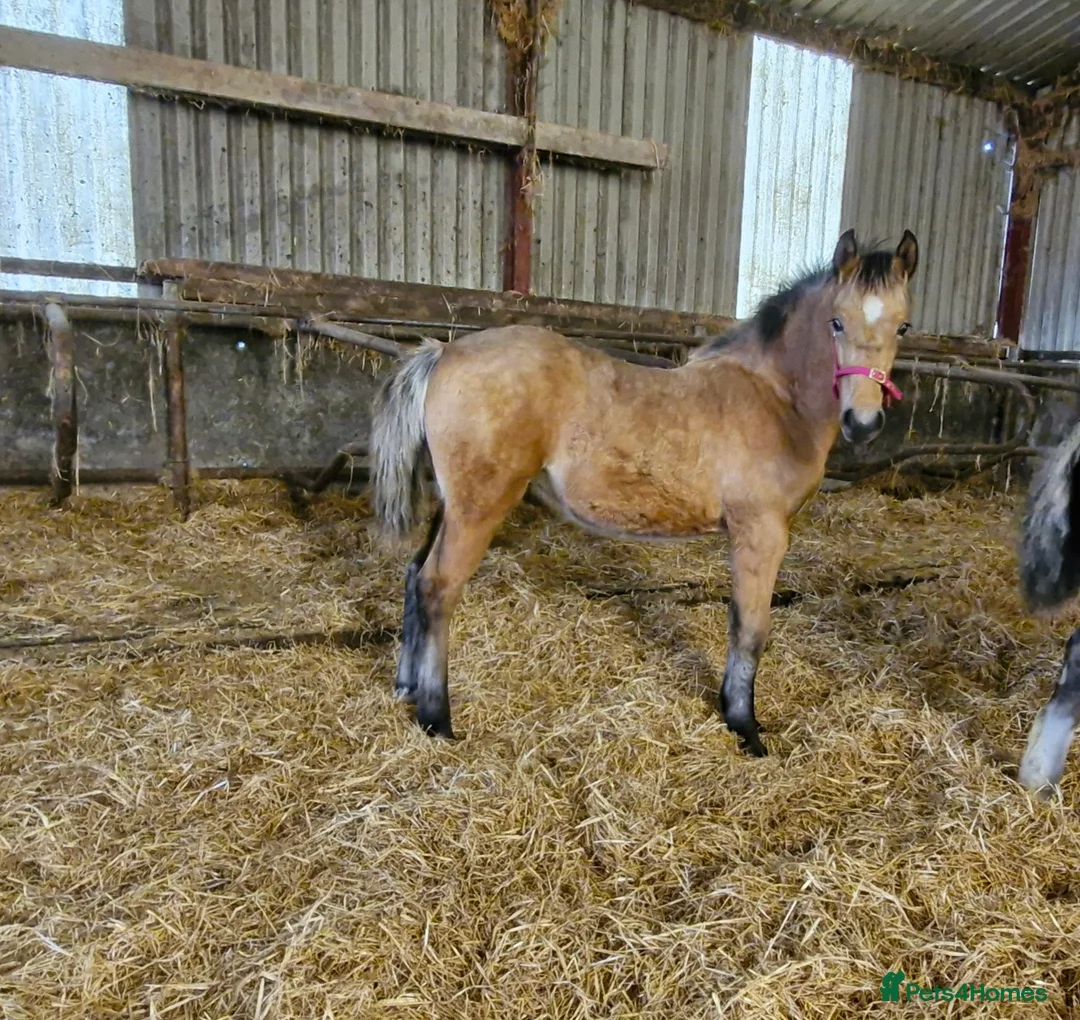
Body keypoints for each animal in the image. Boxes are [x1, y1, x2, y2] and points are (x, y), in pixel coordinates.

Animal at [370, 228, 918, 755]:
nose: (863, 422)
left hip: (450, 504)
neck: (773, 398)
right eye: (836, 322)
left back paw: (406, 689)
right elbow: (750, 627)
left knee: (415, 575)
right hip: (478, 506)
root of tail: (445, 351)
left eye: (903, 327)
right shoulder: (760, 533)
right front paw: (745, 728)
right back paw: (437, 719)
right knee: (438, 587)